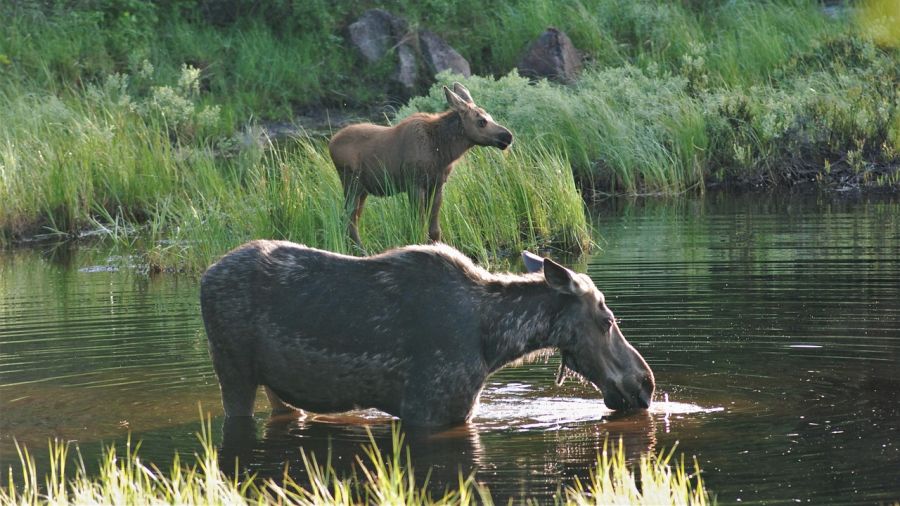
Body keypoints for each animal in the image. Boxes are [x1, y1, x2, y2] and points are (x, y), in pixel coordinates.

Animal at [202, 239, 652, 424]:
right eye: (607, 321)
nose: (645, 383)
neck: (494, 343)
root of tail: (204, 277)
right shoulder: (429, 408)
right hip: (233, 372)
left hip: (277, 387)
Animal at [328, 83, 512, 247]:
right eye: (481, 121)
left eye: (489, 115)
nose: (507, 136)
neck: (443, 150)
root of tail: (330, 144)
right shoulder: (415, 184)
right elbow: (418, 225)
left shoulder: (437, 184)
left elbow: (434, 230)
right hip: (351, 183)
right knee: (348, 219)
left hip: (363, 190)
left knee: (352, 219)